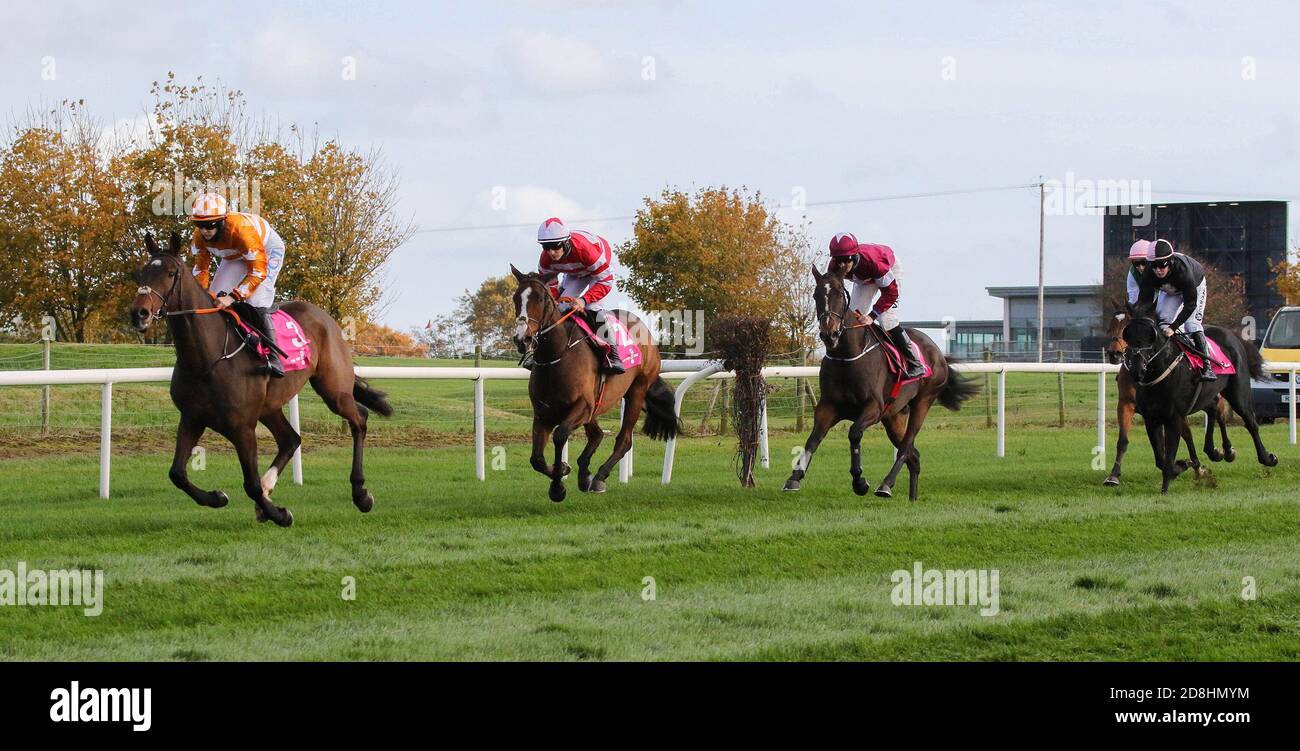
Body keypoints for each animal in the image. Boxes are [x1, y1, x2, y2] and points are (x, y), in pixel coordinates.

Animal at [130, 231, 390, 522]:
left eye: (171, 273)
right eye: (142, 273)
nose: (139, 313)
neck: (206, 358)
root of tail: (327, 318)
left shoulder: (242, 427)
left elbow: (250, 484)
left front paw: (280, 514)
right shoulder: (192, 418)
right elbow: (177, 473)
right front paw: (217, 497)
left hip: (333, 389)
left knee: (359, 419)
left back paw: (361, 494)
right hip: (269, 405)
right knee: (291, 439)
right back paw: (270, 489)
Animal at [506, 266, 681, 498]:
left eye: (541, 298)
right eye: (516, 298)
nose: (522, 339)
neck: (557, 355)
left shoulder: (583, 406)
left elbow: (560, 435)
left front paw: (558, 485)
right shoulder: (543, 414)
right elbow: (536, 459)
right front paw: (563, 470)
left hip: (636, 391)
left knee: (624, 440)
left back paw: (599, 477)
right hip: (597, 404)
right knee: (597, 435)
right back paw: (584, 474)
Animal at [780, 266, 977, 498]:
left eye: (839, 293)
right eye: (816, 295)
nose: (830, 334)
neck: (848, 355)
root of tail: (938, 354)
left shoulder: (873, 407)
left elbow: (854, 433)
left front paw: (859, 481)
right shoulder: (828, 406)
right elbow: (813, 438)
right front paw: (794, 478)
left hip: (923, 401)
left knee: (906, 447)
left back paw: (886, 484)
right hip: (894, 416)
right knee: (914, 455)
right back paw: (912, 497)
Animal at [1097, 309, 1227, 485]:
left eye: (1126, 328)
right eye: (1111, 326)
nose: (1114, 353)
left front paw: (1179, 466)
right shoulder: (1127, 405)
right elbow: (1123, 440)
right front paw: (1113, 475)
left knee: (1218, 410)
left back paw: (1220, 453)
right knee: (1191, 432)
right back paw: (1198, 465)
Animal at [1123, 304, 1274, 491]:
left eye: (1151, 335)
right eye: (1127, 334)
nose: (1136, 369)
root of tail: (1232, 335)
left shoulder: (1174, 418)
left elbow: (1168, 457)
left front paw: (1166, 487)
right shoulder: (1151, 418)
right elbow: (1160, 458)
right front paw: (1182, 465)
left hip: (1238, 393)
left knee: (1250, 422)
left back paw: (1266, 458)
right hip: (1205, 396)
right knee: (1215, 408)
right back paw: (1221, 451)